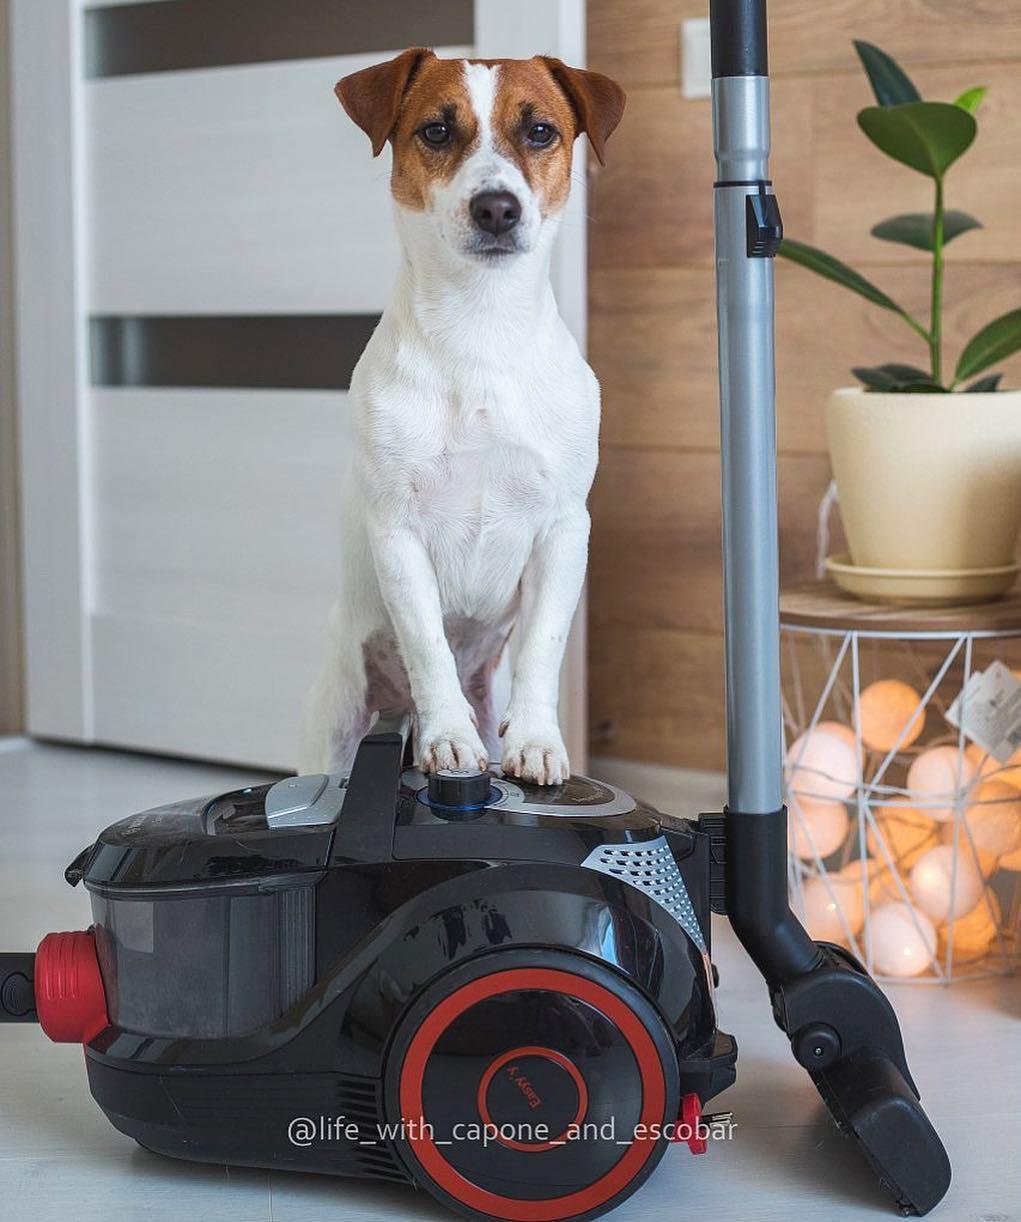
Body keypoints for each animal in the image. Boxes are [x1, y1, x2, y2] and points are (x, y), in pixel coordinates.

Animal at [299, 50, 625, 782]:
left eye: (540, 131)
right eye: (437, 131)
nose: (496, 207)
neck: (480, 327)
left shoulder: (565, 529)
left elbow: (542, 647)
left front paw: (537, 739)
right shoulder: (397, 531)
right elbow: (428, 646)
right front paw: (449, 737)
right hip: (338, 713)